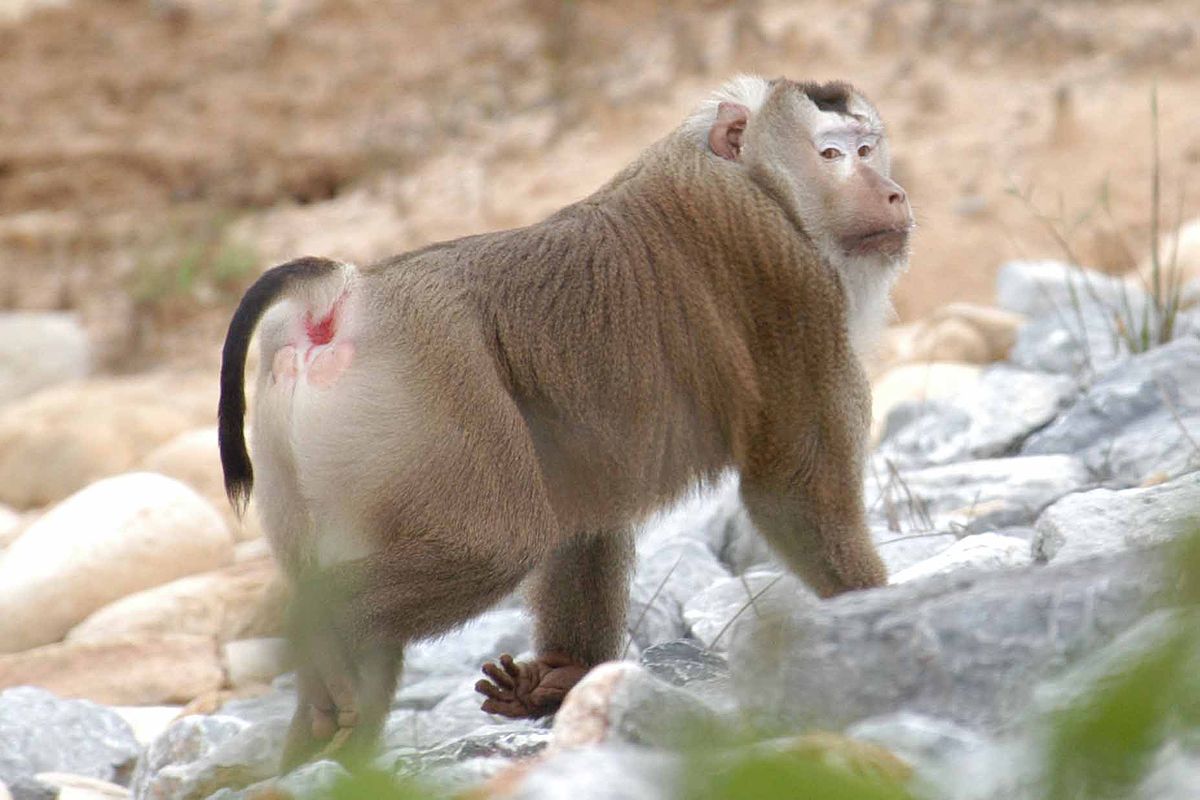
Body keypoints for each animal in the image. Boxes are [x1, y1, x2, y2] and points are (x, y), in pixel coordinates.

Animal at [218, 75, 913, 770]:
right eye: (832, 155)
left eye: (868, 148)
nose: (892, 191)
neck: (752, 178)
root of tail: (342, 297)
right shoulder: (786, 281)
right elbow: (790, 494)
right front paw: (865, 616)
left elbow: (587, 510)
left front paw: (559, 678)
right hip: (430, 389)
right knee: (495, 544)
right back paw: (323, 635)